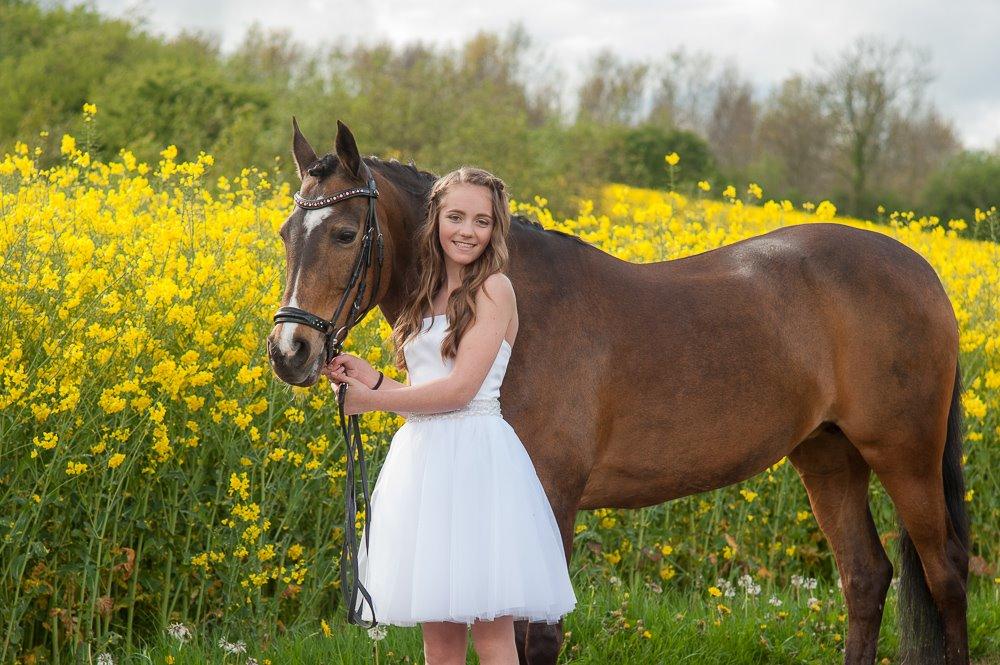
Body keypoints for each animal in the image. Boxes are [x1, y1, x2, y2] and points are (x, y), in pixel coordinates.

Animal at [267, 119, 970, 665]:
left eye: (345, 234)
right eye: (285, 235)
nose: (288, 353)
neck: (520, 304)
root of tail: (923, 272)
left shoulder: (552, 498)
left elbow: (536, 638)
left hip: (905, 455)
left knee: (947, 577)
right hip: (827, 454)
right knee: (866, 578)